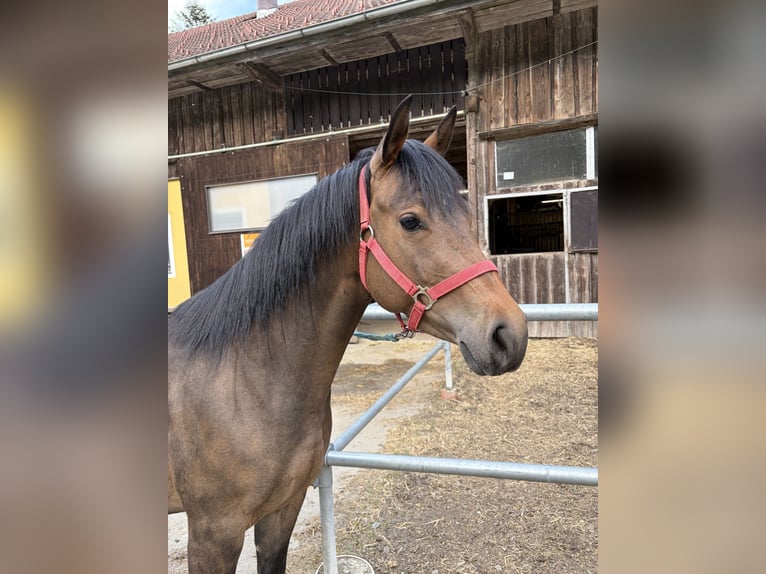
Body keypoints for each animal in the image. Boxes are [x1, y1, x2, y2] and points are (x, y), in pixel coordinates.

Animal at [168, 95, 528, 574]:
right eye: (410, 221)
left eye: (468, 215)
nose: (510, 334)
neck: (243, 379)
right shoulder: (213, 534)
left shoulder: (281, 513)